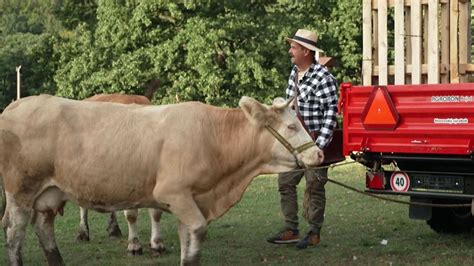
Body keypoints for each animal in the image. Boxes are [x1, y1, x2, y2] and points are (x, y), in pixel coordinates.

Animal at [0, 94, 324, 264]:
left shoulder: (190, 199)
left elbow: (187, 240)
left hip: (50, 193)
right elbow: (196, 234)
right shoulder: (174, 194)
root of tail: (18, 105)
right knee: (15, 235)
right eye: (292, 126)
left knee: (43, 228)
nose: (319, 154)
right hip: (20, 192)